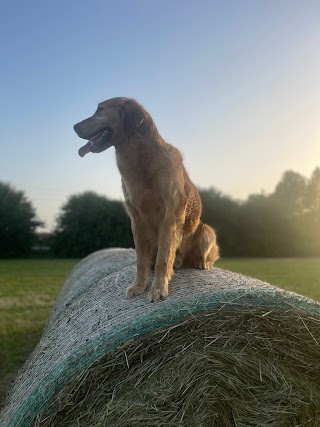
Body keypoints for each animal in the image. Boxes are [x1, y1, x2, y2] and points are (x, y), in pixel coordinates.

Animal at [74, 98, 219, 302]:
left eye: (100, 110)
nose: (74, 126)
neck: (141, 160)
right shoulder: (136, 220)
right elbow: (140, 261)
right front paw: (138, 286)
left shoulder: (170, 217)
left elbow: (163, 258)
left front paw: (158, 288)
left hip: (207, 231)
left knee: (202, 255)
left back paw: (201, 262)